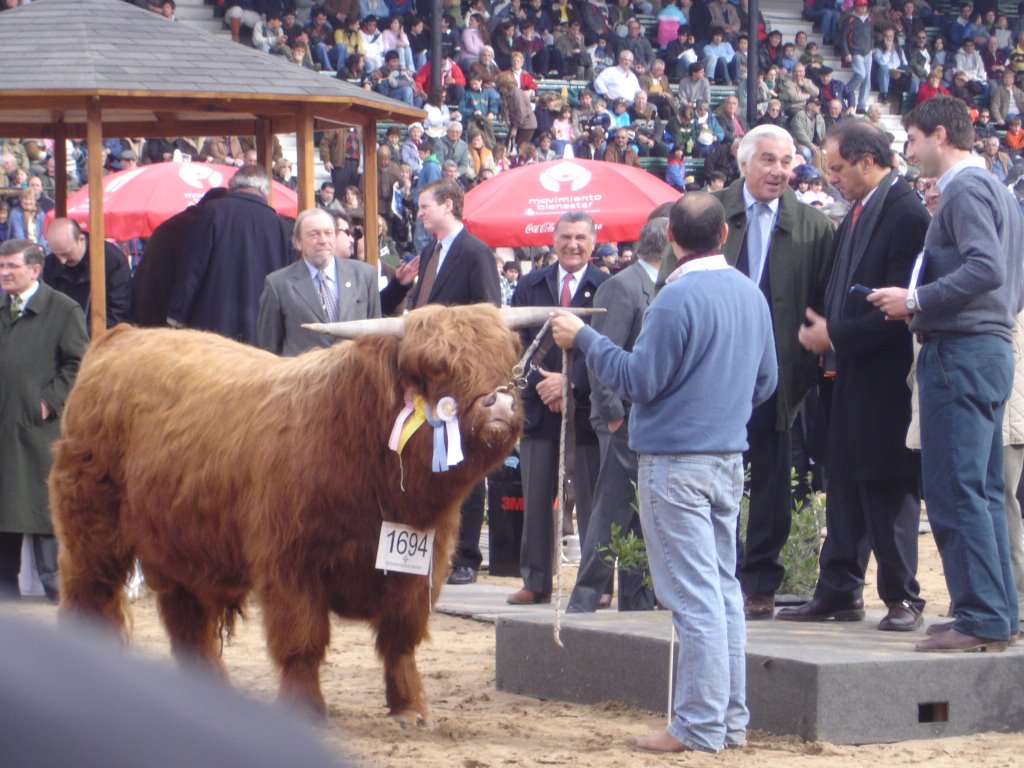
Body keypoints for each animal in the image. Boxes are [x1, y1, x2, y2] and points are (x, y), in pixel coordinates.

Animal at [47, 303, 528, 724]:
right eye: (436, 366)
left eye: (506, 362)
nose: (500, 405)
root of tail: (121, 337)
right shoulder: (290, 564)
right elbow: (303, 642)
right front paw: (306, 710)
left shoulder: (419, 563)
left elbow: (401, 641)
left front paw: (409, 708)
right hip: (93, 531)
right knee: (88, 595)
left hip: (180, 543)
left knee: (186, 621)